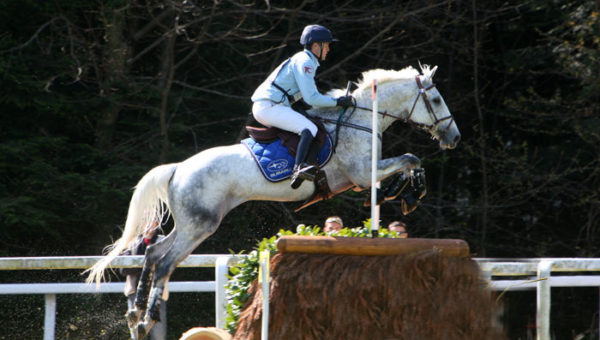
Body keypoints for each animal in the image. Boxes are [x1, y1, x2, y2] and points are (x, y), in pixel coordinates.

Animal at [84, 64, 460, 338]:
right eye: (437, 100)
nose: (454, 137)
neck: (361, 120)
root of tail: (178, 169)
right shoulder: (362, 175)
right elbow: (411, 159)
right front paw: (410, 193)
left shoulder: (358, 180)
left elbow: (406, 166)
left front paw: (405, 192)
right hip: (201, 225)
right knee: (164, 263)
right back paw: (146, 318)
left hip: (191, 222)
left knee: (153, 254)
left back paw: (136, 315)